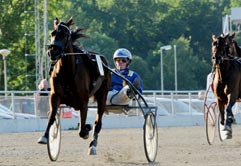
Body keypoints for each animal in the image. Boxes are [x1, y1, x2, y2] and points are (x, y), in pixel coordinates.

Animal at [38, 17, 112, 155]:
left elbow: (82, 131)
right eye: (52, 33)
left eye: (64, 34)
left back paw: (93, 145)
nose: (53, 51)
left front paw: (87, 130)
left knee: (98, 122)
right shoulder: (55, 96)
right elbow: (51, 117)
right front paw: (44, 137)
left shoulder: (83, 101)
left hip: (103, 96)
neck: (67, 73)